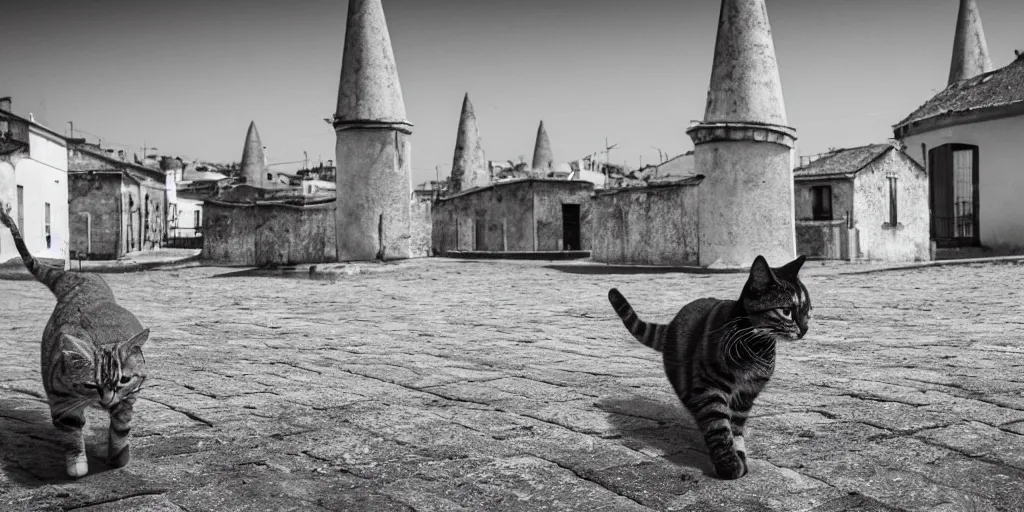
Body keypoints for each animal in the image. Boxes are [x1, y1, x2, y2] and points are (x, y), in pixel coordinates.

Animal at [0, 201, 149, 477]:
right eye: (91, 385)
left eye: (123, 380)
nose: (107, 401)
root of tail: (80, 279)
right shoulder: (60, 399)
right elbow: (71, 433)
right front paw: (77, 464)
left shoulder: (129, 396)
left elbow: (122, 425)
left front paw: (119, 456)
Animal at [606, 254, 806, 479]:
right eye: (786, 312)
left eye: (807, 309)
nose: (805, 329)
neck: (757, 348)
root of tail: (673, 322)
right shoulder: (710, 388)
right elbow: (718, 426)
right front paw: (729, 465)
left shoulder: (747, 394)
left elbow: (735, 426)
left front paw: (739, 454)